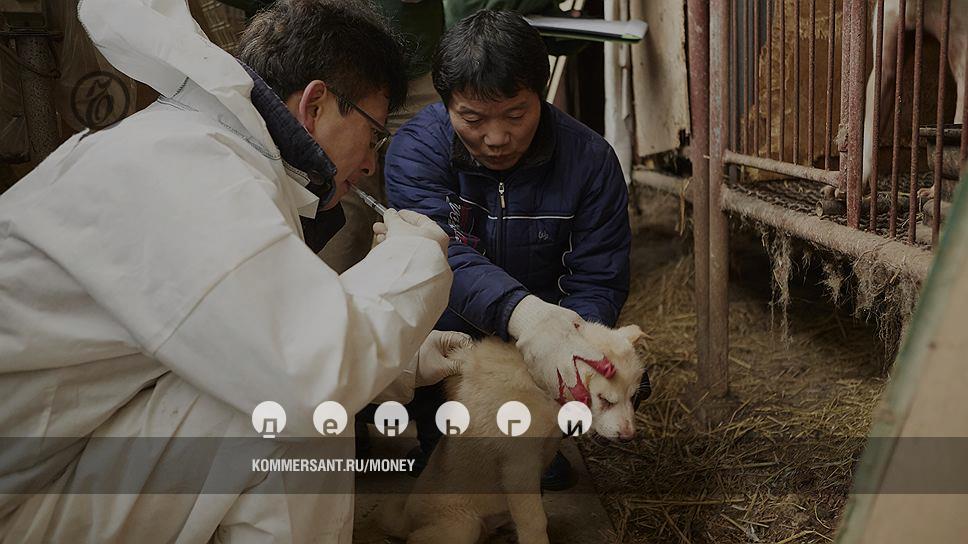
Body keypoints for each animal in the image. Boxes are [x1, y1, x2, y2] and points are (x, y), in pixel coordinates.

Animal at [380, 322, 646, 544]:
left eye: (633, 397)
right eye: (605, 400)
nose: (629, 436)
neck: (539, 384)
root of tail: (406, 518)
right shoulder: (519, 468)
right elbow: (535, 522)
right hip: (462, 527)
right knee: (417, 539)